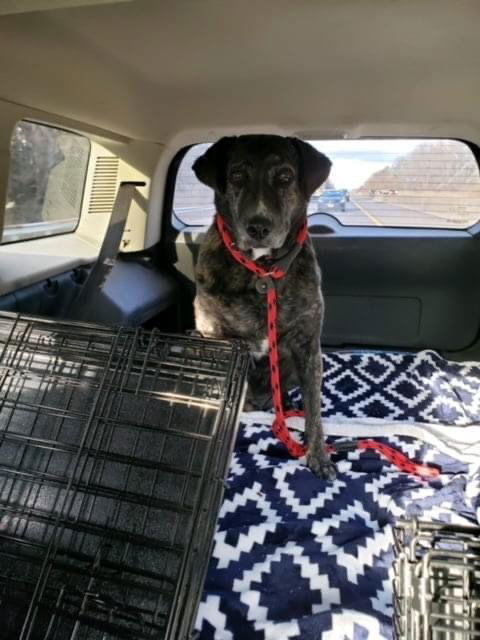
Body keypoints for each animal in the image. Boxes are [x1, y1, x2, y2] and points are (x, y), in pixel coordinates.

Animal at [193, 136, 336, 480]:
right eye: (236, 177)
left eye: (285, 177)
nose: (258, 227)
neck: (262, 271)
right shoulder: (216, 337)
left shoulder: (308, 346)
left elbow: (314, 411)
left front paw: (318, 456)